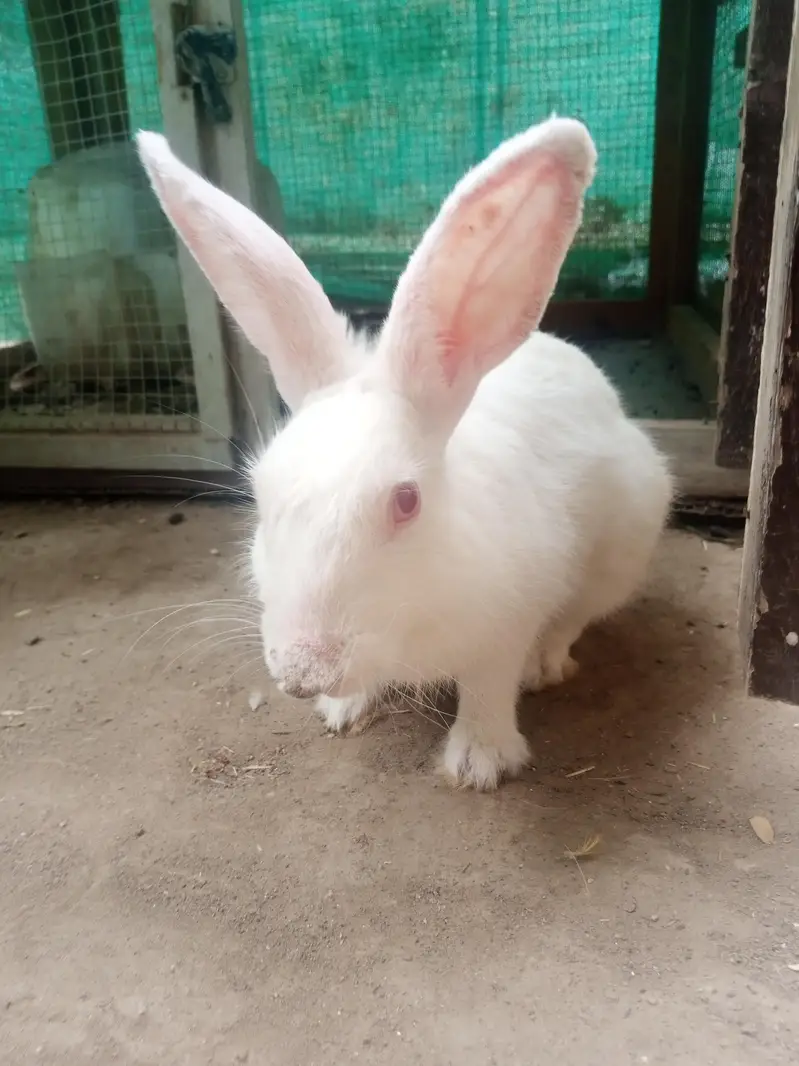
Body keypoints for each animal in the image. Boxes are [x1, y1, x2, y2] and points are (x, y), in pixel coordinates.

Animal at [137, 116, 673, 791]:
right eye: (261, 498)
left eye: (406, 501)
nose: (301, 675)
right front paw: (341, 710)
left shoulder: (507, 621)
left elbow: (489, 687)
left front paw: (479, 764)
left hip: (623, 541)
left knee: (575, 619)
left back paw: (546, 666)